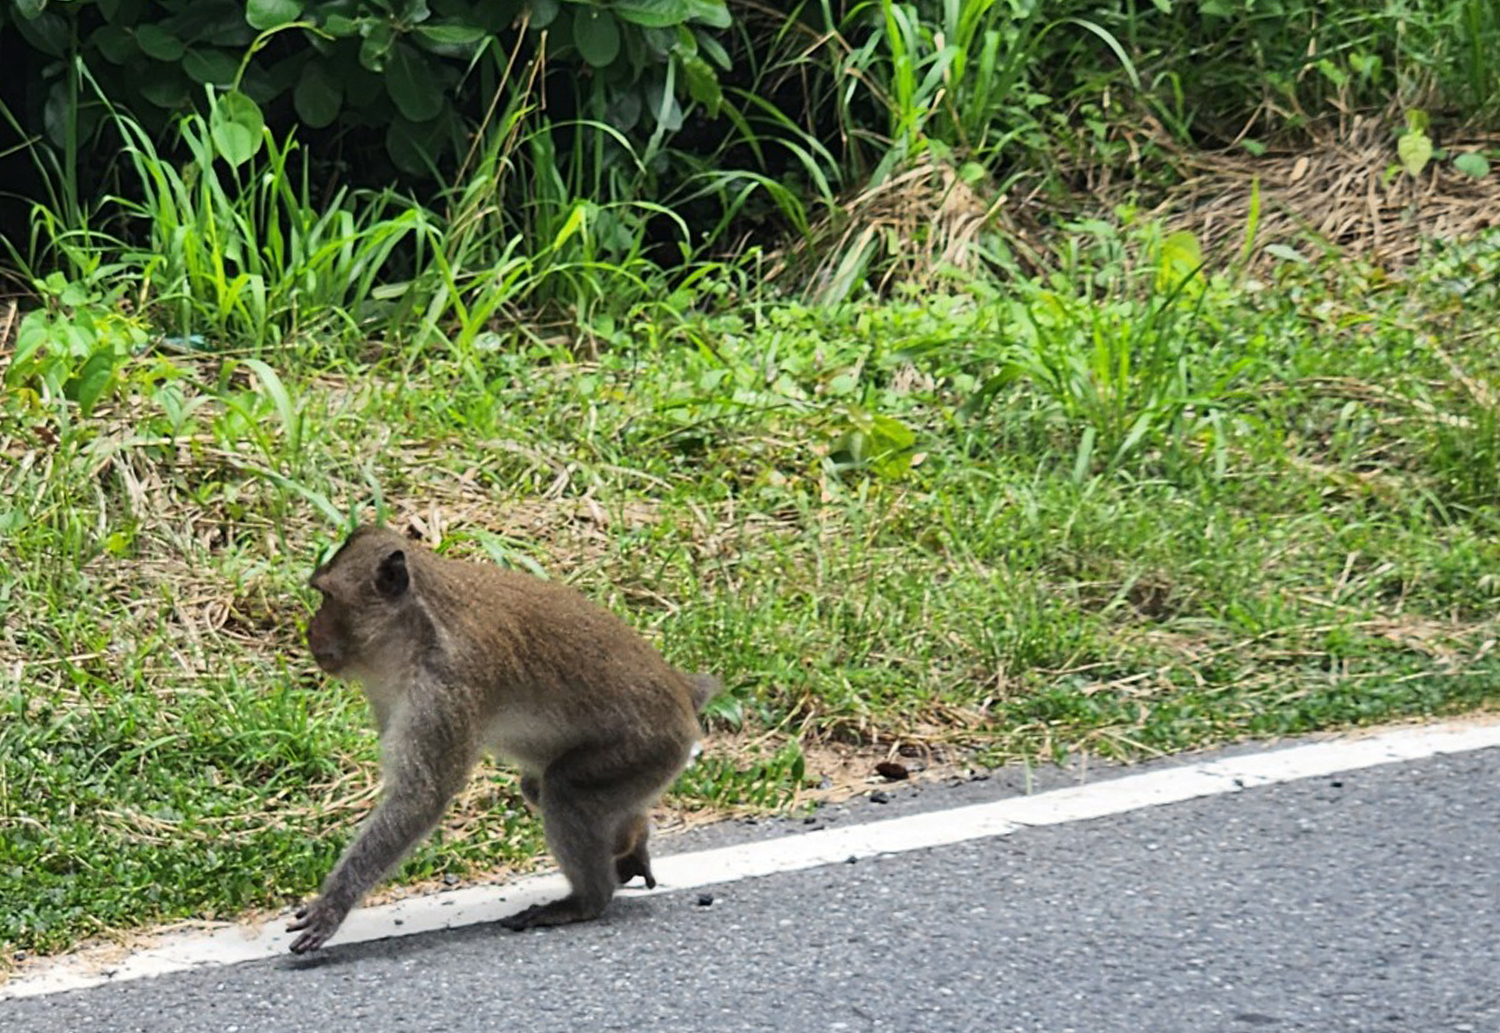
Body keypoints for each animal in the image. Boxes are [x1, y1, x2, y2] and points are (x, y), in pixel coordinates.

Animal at [289, 527, 723, 953]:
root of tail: (684, 692)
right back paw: (632, 836)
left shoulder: (445, 687)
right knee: (539, 786)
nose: (309, 630)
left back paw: (587, 901)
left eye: (327, 597)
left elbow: (421, 798)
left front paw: (334, 905)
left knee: (564, 790)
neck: (415, 633)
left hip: (649, 750)